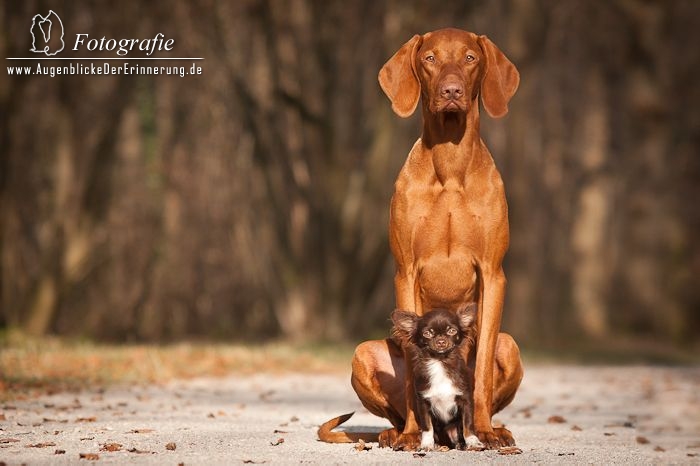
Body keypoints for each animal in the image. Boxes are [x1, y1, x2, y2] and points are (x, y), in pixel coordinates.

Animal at [320, 27, 524, 450]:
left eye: (469, 58)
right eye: (430, 58)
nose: (451, 91)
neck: (449, 163)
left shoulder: (493, 273)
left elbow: (480, 371)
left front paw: (482, 430)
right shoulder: (406, 270)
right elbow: (415, 375)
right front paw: (415, 433)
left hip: (510, 346)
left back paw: (495, 428)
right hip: (364, 353)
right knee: (395, 410)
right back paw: (394, 432)